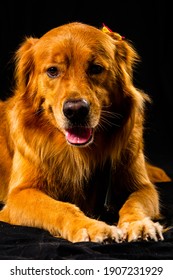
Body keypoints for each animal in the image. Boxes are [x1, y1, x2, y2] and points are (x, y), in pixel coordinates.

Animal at [0, 21, 170, 243]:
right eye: (52, 71)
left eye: (96, 68)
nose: (75, 110)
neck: (79, 153)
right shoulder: (20, 194)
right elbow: (60, 208)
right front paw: (90, 226)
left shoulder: (143, 187)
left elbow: (135, 203)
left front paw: (138, 223)